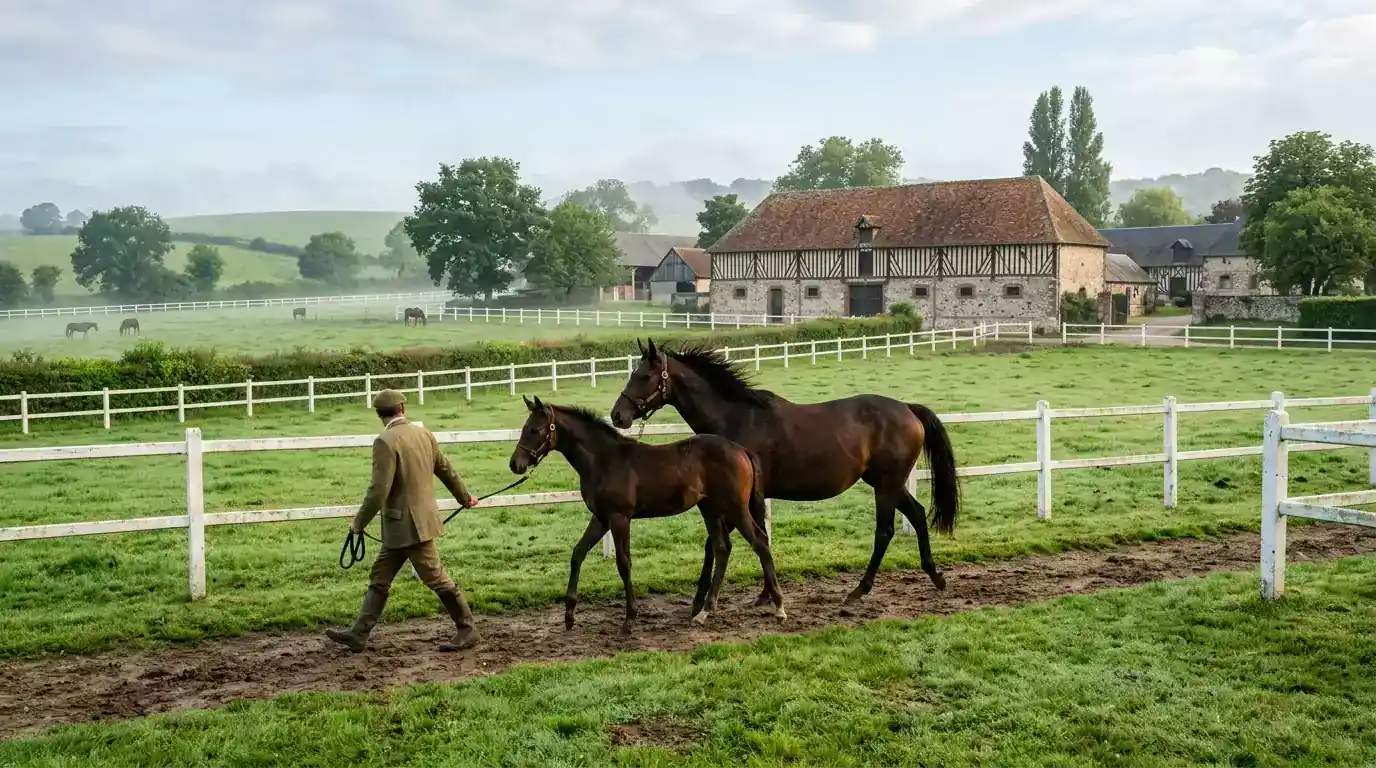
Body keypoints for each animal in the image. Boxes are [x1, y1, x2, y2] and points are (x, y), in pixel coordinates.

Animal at [509, 396, 786, 636]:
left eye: (534, 430)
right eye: (524, 428)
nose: (515, 464)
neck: (604, 460)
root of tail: (741, 450)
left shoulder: (619, 517)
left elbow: (624, 563)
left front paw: (629, 620)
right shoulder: (601, 518)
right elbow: (578, 553)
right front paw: (569, 615)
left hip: (735, 508)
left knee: (760, 541)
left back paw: (779, 607)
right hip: (711, 510)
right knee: (722, 548)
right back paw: (704, 612)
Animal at [610, 339, 960, 607]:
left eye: (644, 375)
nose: (618, 415)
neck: (738, 418)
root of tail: (908, 409)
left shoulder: (740, 498)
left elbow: (731, 541)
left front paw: (736, 597)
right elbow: (752, 537)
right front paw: (758, 594)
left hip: (886, 485)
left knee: (885, 531)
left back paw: (859, 590)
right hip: (887, 482)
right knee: (917, 514)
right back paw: (935, 576)